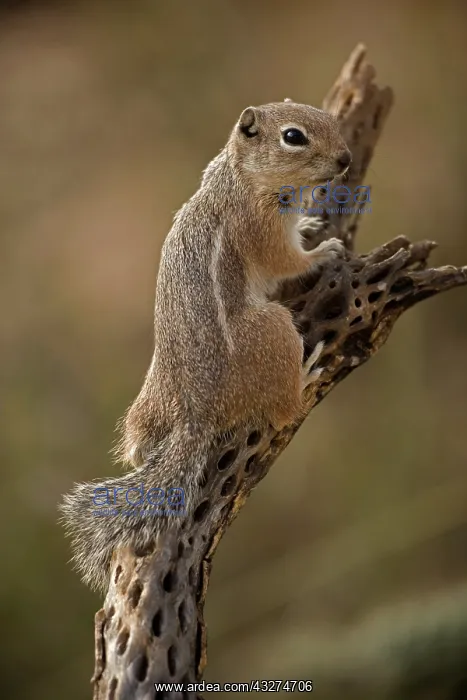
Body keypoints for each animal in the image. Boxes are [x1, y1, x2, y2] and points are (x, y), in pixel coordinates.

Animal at [60, 100, 351, 592]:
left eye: (323, 114)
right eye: (294, 136)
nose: (346, 159)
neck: (238, 176)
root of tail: (199, 412)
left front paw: (313, 223)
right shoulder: (259, 225)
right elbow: (286, 261)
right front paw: (323, 250)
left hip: (149, 400)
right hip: (273, 329)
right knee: (283, 412)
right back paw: (307, 372)